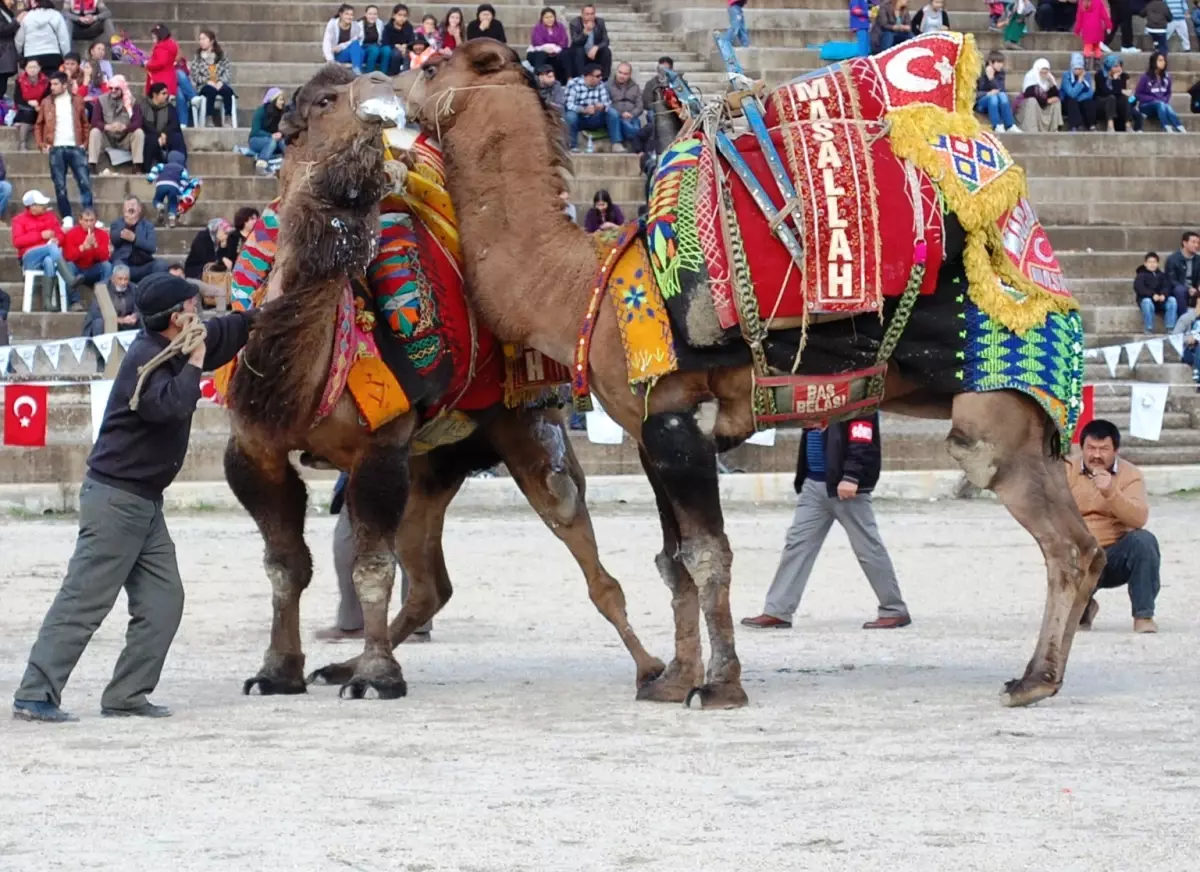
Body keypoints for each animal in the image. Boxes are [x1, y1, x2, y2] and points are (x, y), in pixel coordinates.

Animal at [400, 42, 1104, 710]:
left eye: (433, 65)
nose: (390, 92)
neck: (579, 287)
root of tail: (1042, 270)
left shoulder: (679, 420)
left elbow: (708, 555)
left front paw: (720, 687)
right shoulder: (651, 435)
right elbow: (674, 560)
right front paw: (672, 680)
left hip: (993, 413)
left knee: (1062, 540)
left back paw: (1033, 681)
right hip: (1026, 419)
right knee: (1084, 545)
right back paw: (1043, 673)